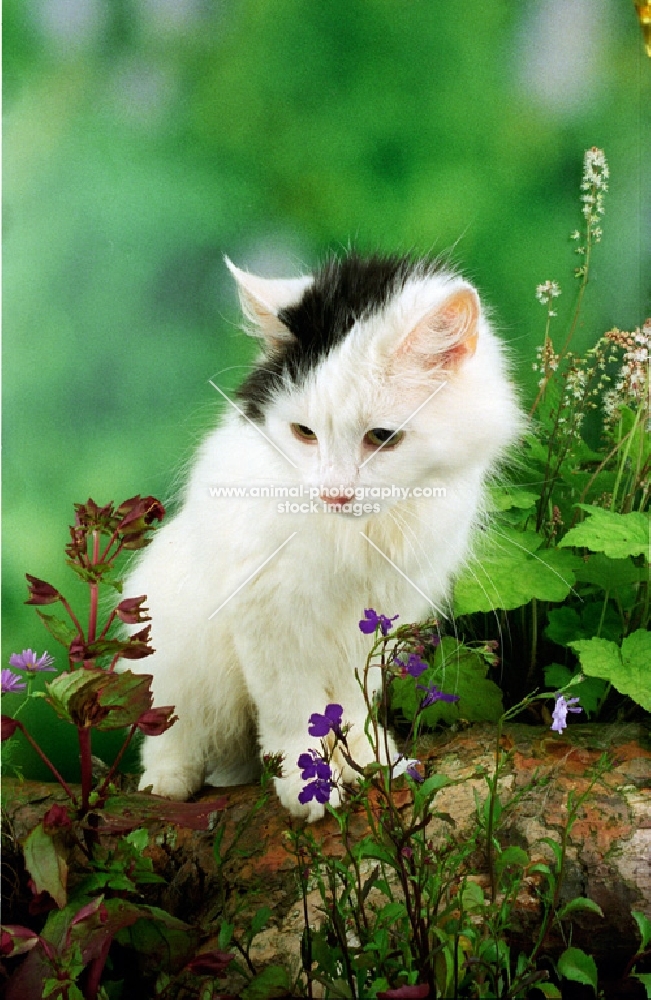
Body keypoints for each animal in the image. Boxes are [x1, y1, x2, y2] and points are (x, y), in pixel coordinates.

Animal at [126, 250, 524, 820]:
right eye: (304, 434)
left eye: (382, 437)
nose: (333, 494)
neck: (355, 534)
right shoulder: (268, 615)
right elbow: (295, 712)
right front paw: (307, 784)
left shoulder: (378, 617)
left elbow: (353, 703)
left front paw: (369, 760)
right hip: (177, 647)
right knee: (172, 727)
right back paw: (168, 782)